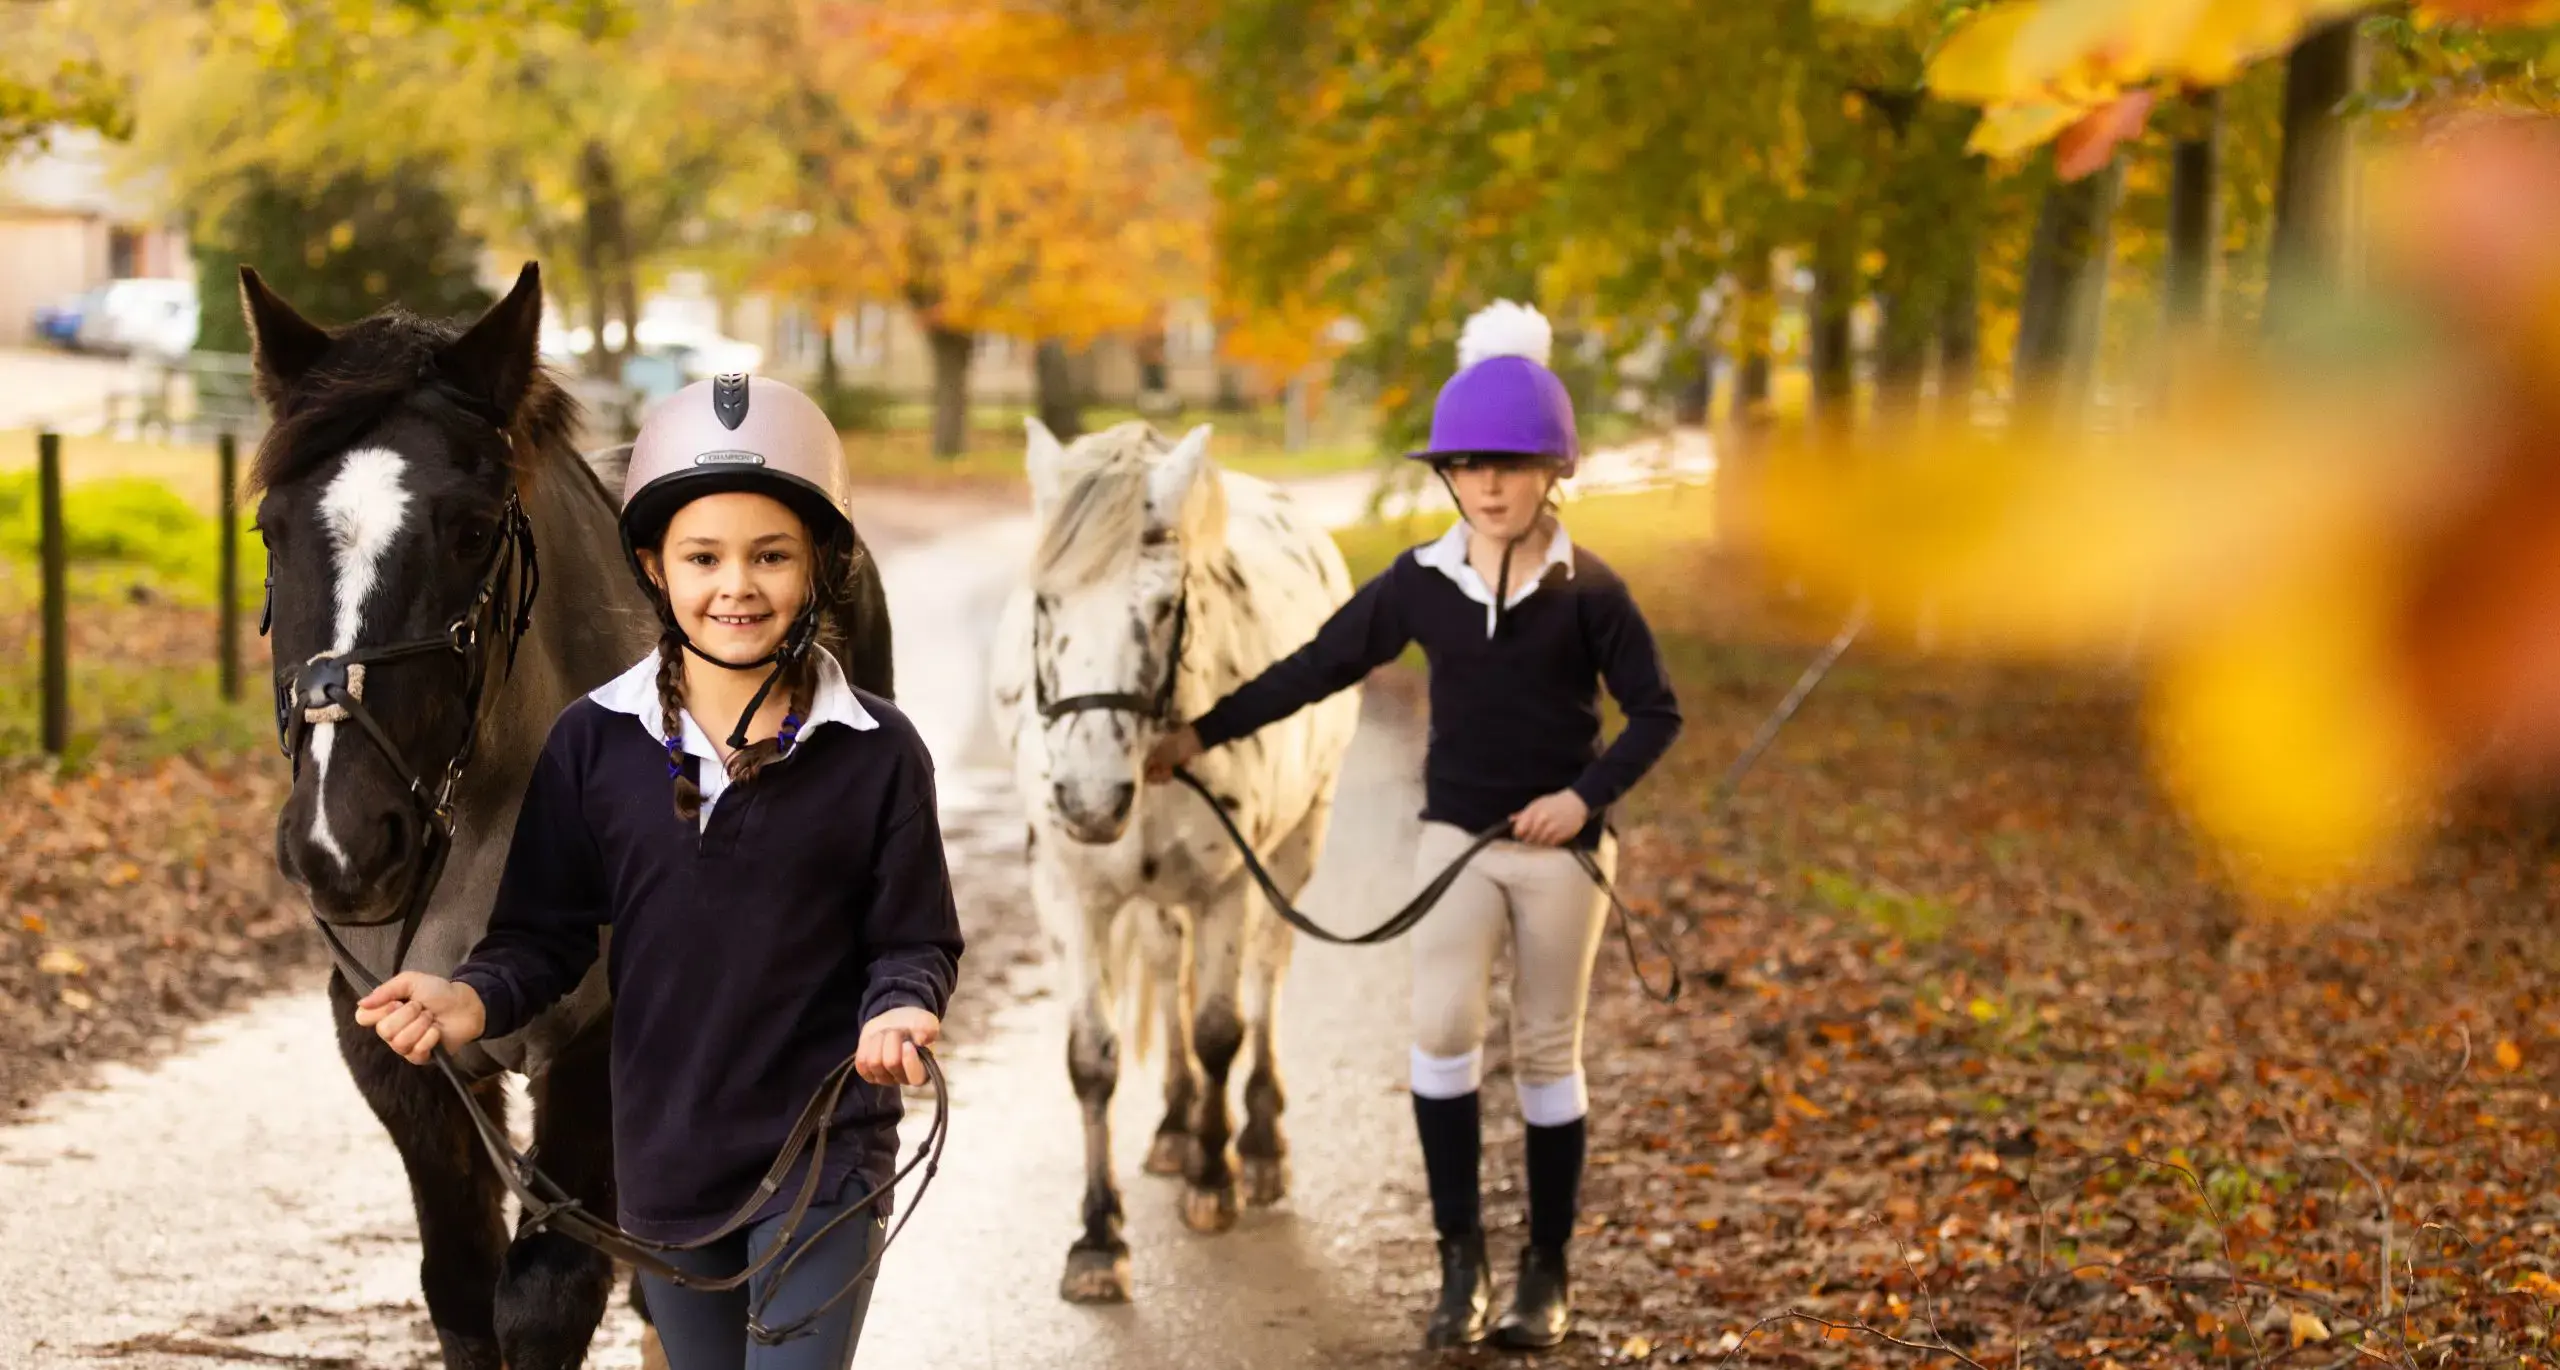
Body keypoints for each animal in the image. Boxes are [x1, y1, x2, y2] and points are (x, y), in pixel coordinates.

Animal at [989, 418, 1362, 1303]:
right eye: (1048, 600)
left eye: (1162, 608)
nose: (1091, 799)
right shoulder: (1071, 897)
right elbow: (1091, 1059)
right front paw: (1097, 1239)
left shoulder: (1229, 886)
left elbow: (1222, 1027)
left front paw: (1214, 1180)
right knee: (1165, 964)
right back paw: (1172, 1125)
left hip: (1297, 846)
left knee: (1266, 975)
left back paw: (1255, 1144)